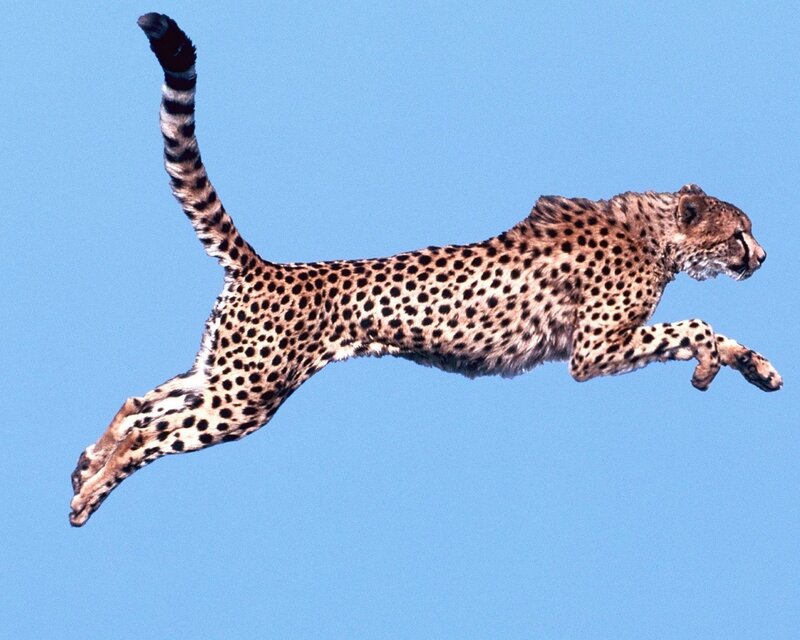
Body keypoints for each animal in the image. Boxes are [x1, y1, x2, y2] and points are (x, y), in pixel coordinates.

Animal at [69, 13, 782, 527]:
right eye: (739, 233)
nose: (763, 257)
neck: (655, 232)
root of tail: (265, 266)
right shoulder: (595, 350)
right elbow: (695, 323)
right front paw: (716, 360)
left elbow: (711, 333)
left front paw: (755, 368)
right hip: (245, 396)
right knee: (153, 428)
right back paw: (90, 491)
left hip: (226, 375)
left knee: (140, 403)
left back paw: (85, 464)